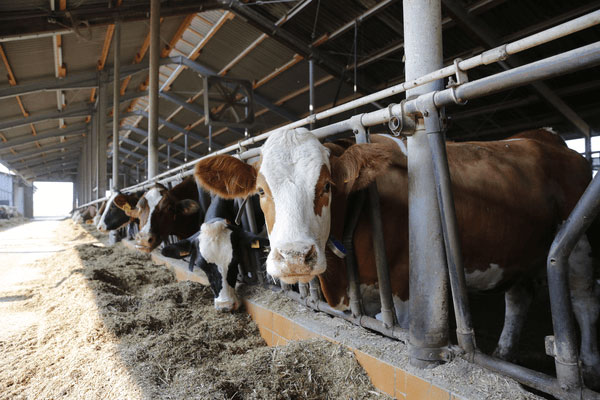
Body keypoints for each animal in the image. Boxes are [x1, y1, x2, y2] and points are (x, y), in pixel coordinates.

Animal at [192, 126, 600, 386]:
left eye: (326, 186)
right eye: (261, 191)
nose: (294, 257)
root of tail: (547, 140)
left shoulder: (404, 285)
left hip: (579, 245)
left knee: (583, 300)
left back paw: (587, 366)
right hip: (515, 250)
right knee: (518, 297)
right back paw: (502, 353)